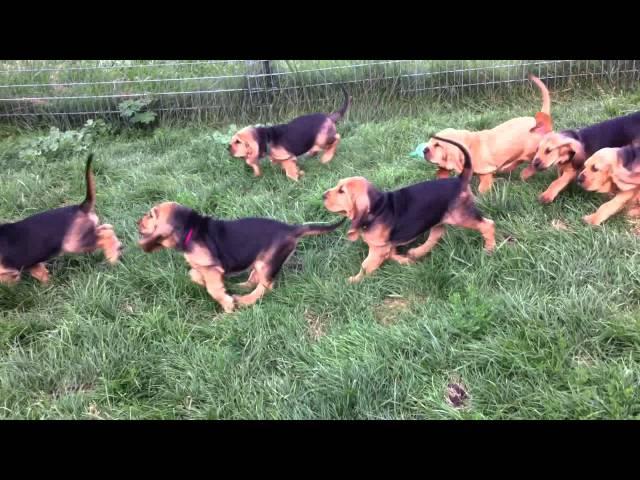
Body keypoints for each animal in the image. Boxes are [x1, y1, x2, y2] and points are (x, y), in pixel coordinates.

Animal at [0, 154, 122, 284]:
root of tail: (80, 207)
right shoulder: (31, 263)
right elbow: (40, 273)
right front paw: (48, 284)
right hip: (86, 232)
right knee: (107, 228)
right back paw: (116, 249)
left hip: (74, 243)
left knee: (106, 234)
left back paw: (112, 257)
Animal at [136, 202, 344, 312]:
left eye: (151, 215)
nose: (137, 222)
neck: (190, 230)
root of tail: (291, 229)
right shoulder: (204, 267)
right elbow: (194, 275)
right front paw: (206, 283)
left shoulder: (211, 268)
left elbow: (214, 290)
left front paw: (227, 307)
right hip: (260, 260)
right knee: (255, 279)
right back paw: (240, 287)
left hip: (267, 262)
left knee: (266, 286)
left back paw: (245, 300)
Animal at [322, 137, 498, 284]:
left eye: (342, 191)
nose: (323, 196)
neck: (377, 208)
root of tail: (459, 180)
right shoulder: (386, 246)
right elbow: (391, 254)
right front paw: (406, 261)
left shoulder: (377, 249)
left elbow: (366, 265)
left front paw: (353, 280)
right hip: (437, 217)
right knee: (436, 234)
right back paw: (417, 252)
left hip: (461, 216)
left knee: (487, 225)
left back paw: (489, 249)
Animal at [424, 73, 552, 193]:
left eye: (437, 145)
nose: (424, 150)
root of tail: (540, 119)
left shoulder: (485, 172)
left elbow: (482, 188)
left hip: (533, 151)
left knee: (535, 162)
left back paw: (524, 173)